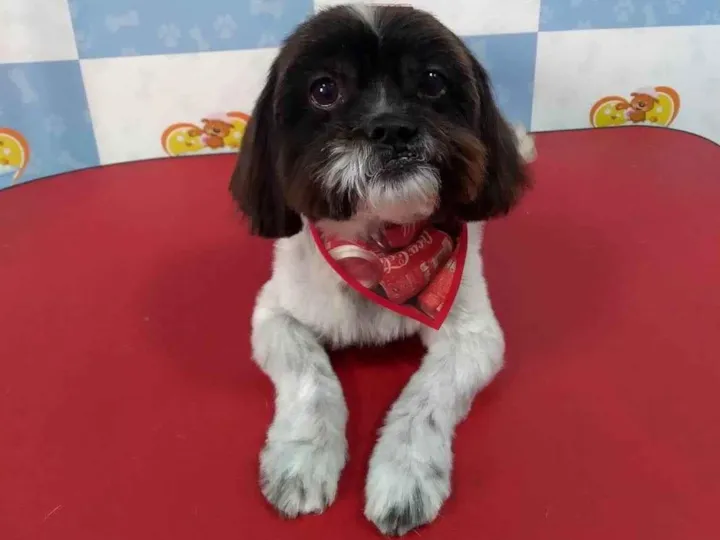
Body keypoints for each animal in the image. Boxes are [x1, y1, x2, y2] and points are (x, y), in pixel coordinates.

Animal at [229, 4, 535, 536]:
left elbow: (425, 400)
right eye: (324, 89)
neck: (381, 250)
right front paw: (301, 460)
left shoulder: (473, 334)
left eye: (432, 82)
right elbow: (309, 377)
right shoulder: (275, 314)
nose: (391, 127)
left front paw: (404, 478)